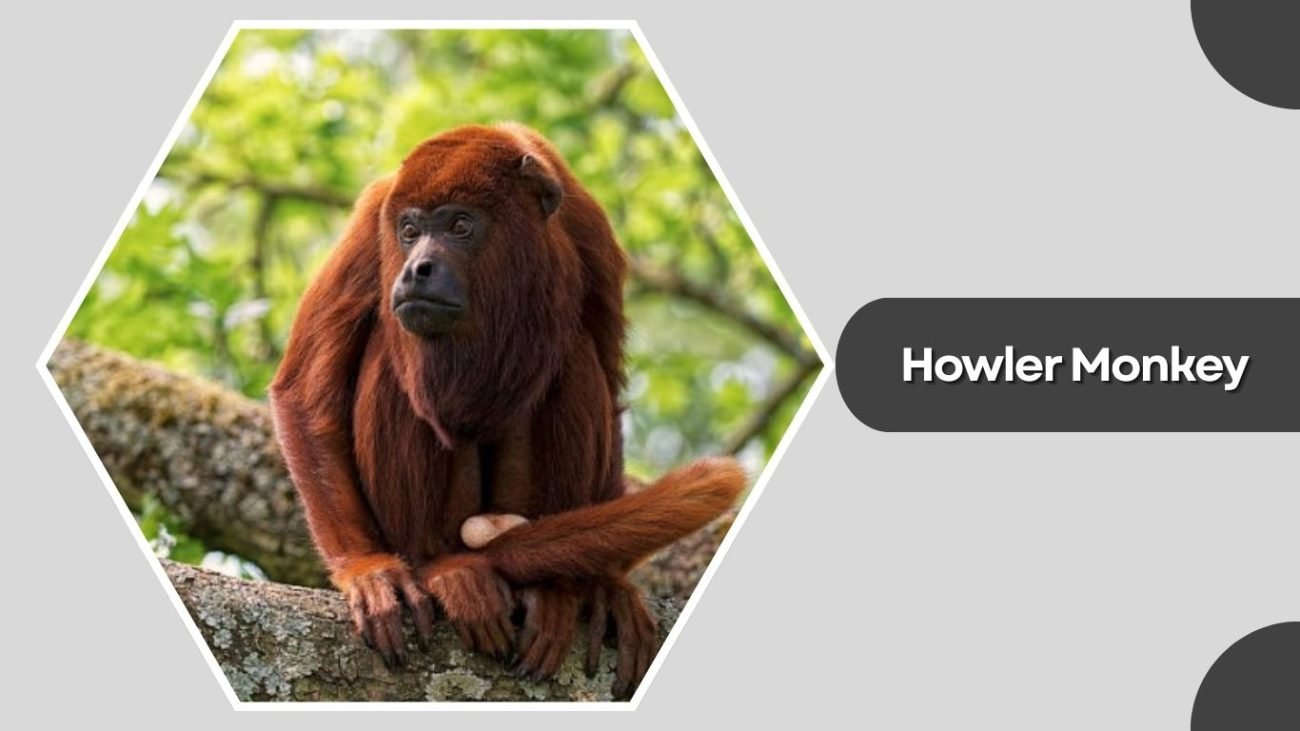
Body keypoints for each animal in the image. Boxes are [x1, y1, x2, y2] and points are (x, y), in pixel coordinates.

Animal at [268, 123, 746, 698]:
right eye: (409, 230)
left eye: (460, 225)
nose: (416, 268)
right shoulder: (370, 223)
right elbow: (303, 392)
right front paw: (367, 570)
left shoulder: (588, 226)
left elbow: (608, 381)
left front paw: (607, 584)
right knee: (388, 352)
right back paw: (446, 572)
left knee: (575, 353)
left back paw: (551, 591)